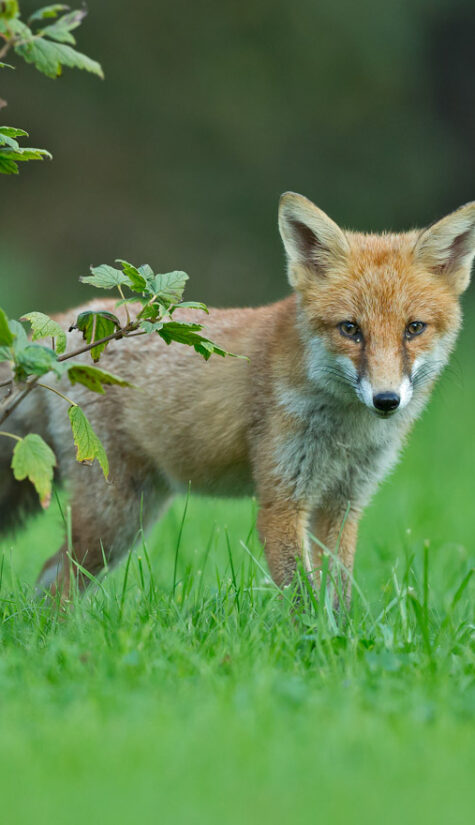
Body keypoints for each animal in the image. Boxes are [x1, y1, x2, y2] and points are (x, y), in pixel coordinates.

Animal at [1, 192, 475, 604]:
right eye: (350, 329)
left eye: (413, 328)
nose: (386, 400)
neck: (346, 432)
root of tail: (67, 324)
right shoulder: (281, 499)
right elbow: (303, 601)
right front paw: (316, 648)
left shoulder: (343, 502)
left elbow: (337, 595)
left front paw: (344, 643)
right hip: (114, 514)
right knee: (59, 584)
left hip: (132, 518)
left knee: (48, 578)